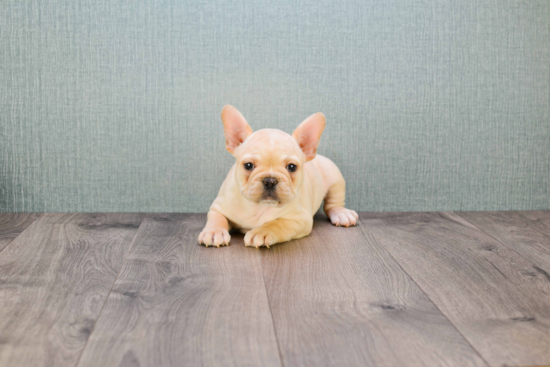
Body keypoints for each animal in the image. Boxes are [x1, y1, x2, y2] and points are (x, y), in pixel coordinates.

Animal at [198, 106, 358, 250]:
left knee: (333, 204)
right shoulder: (218, 208)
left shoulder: (299, 219)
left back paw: (342, 214)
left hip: (335, 177)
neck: (260, 206)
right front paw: (214, 232)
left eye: (292, 167)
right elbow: (217, 219)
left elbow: (278, 223)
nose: (270, 180)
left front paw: (262, 232)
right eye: (248, 165)